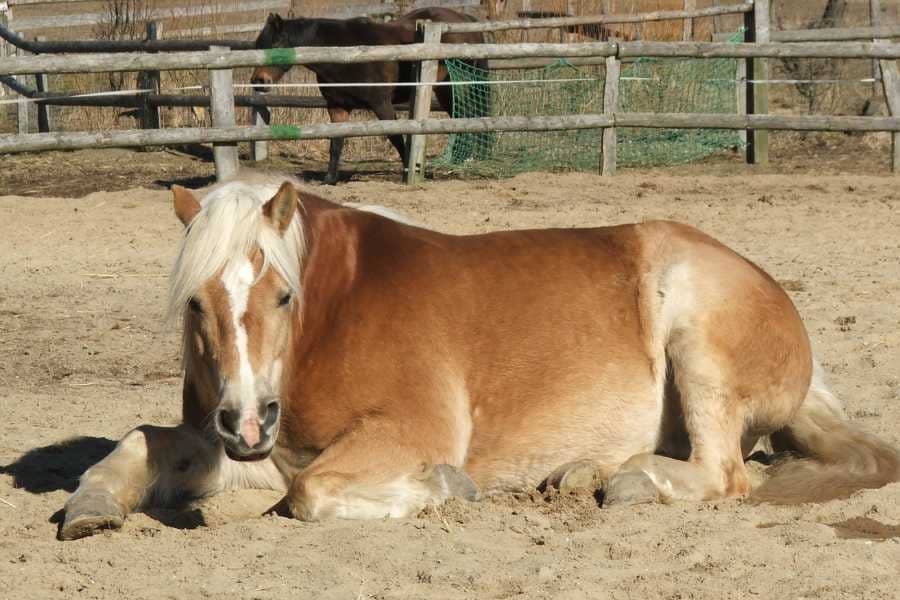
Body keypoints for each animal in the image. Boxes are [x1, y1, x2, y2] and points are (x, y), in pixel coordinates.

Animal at [59, 178, 896, 540]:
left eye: (282, 296)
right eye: (196, 304)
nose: (244, 421)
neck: (332, 313)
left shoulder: (397, 433)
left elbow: (313, 495)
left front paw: (447, 488)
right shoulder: (257, 450)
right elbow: (142, 443)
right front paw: (91, 505)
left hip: (694, 329)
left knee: (725, 474)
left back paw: (629, 483)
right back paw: (580, 475)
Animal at [250, 8, 488, 184]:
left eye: (275, 44)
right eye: (258, 45)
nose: (258, 81)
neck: (342, 54)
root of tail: (464, 19)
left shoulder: (381, 104)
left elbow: (396, 137)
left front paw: (409, 171)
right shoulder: (337, 107)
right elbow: (335, 142)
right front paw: (330, 179)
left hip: (456, 86)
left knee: (468, 115)